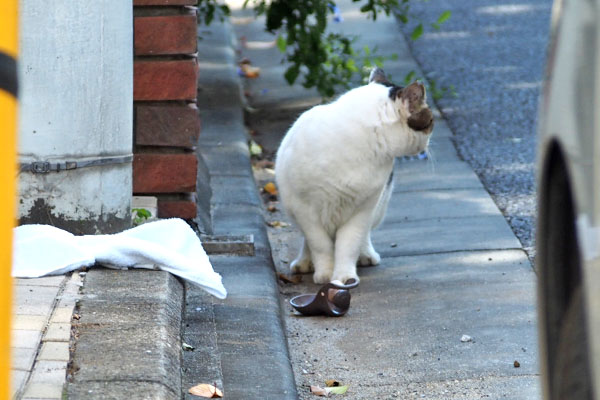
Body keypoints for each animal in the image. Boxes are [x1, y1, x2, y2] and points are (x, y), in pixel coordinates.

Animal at [274, 70, 434, 286]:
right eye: (431, 122)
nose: (429, 141)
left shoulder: (362, 210)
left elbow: (349, 244)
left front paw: (344, 277)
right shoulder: (305, 210)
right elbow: (319, 244)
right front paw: (325, 274)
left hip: (377, 207)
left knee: (364, 236)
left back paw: (365, 256)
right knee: (309, 241)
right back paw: (304, 262)